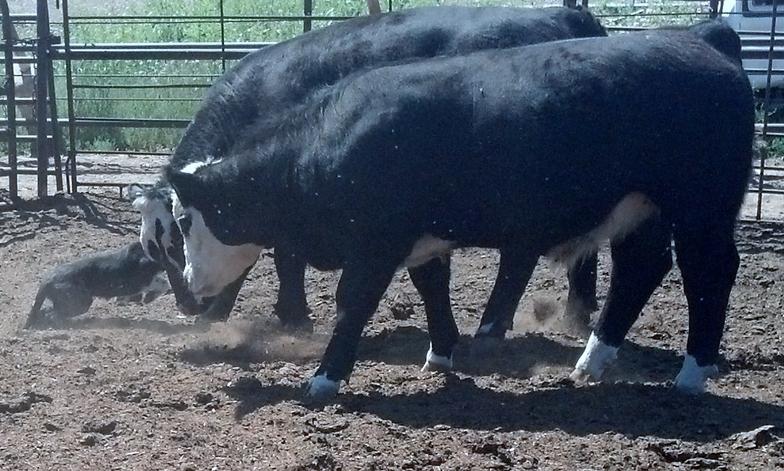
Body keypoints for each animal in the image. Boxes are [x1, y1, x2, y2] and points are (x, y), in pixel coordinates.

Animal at [25, 242, 169, 328]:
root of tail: (47, 280)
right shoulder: (139, 281)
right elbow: (164, 283)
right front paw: (149, 297)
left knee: (44, 312)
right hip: (81, 302)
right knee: (52, 314)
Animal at [130, 5, 607, 329]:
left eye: (176, 236)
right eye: (152, 248)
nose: (185, 303)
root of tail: (569, 15)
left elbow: (285, 257)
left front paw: (287, 314)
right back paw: (577, 313)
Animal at [165, 29, 754, 402]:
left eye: (186, 220)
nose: (190, 287)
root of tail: (703, 43)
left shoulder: (376, 243)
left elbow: (352, 303)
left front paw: (324, 379)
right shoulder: (421, 239)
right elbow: (432, 286)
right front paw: (442, 354)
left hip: (701, 207)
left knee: (710, 272)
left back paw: (693, 373)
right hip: (641, 210)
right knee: (640, 269)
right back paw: (593, 361)